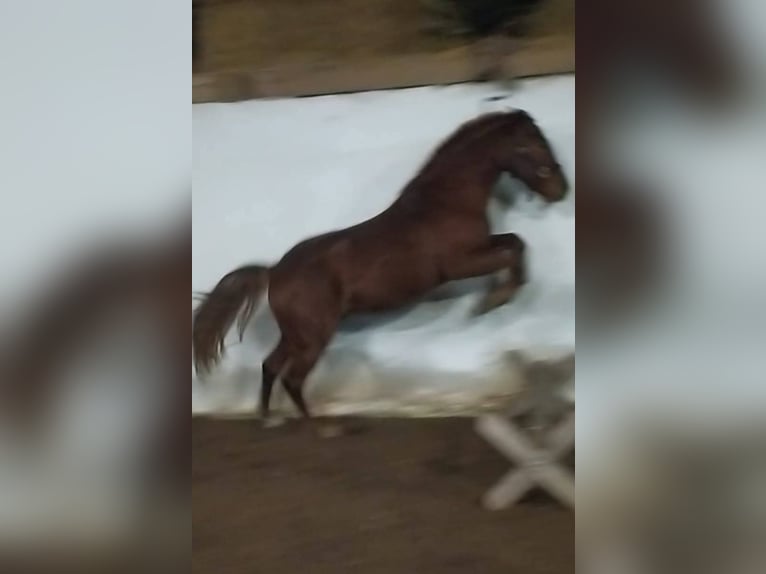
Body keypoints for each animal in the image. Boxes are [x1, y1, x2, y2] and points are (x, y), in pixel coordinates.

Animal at [192, 109, 569, 432]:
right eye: (531, 144)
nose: (560, 189)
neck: (447, 201)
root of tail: (274, 272)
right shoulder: (459, 264)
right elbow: (512, 250)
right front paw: (492, 301)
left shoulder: (480, 247)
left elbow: (515, 241)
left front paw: (497, 296)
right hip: (314, 336)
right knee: (292, 377)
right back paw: (322, 427)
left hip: (296, 335)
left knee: (270, 366)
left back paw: (269, 419)